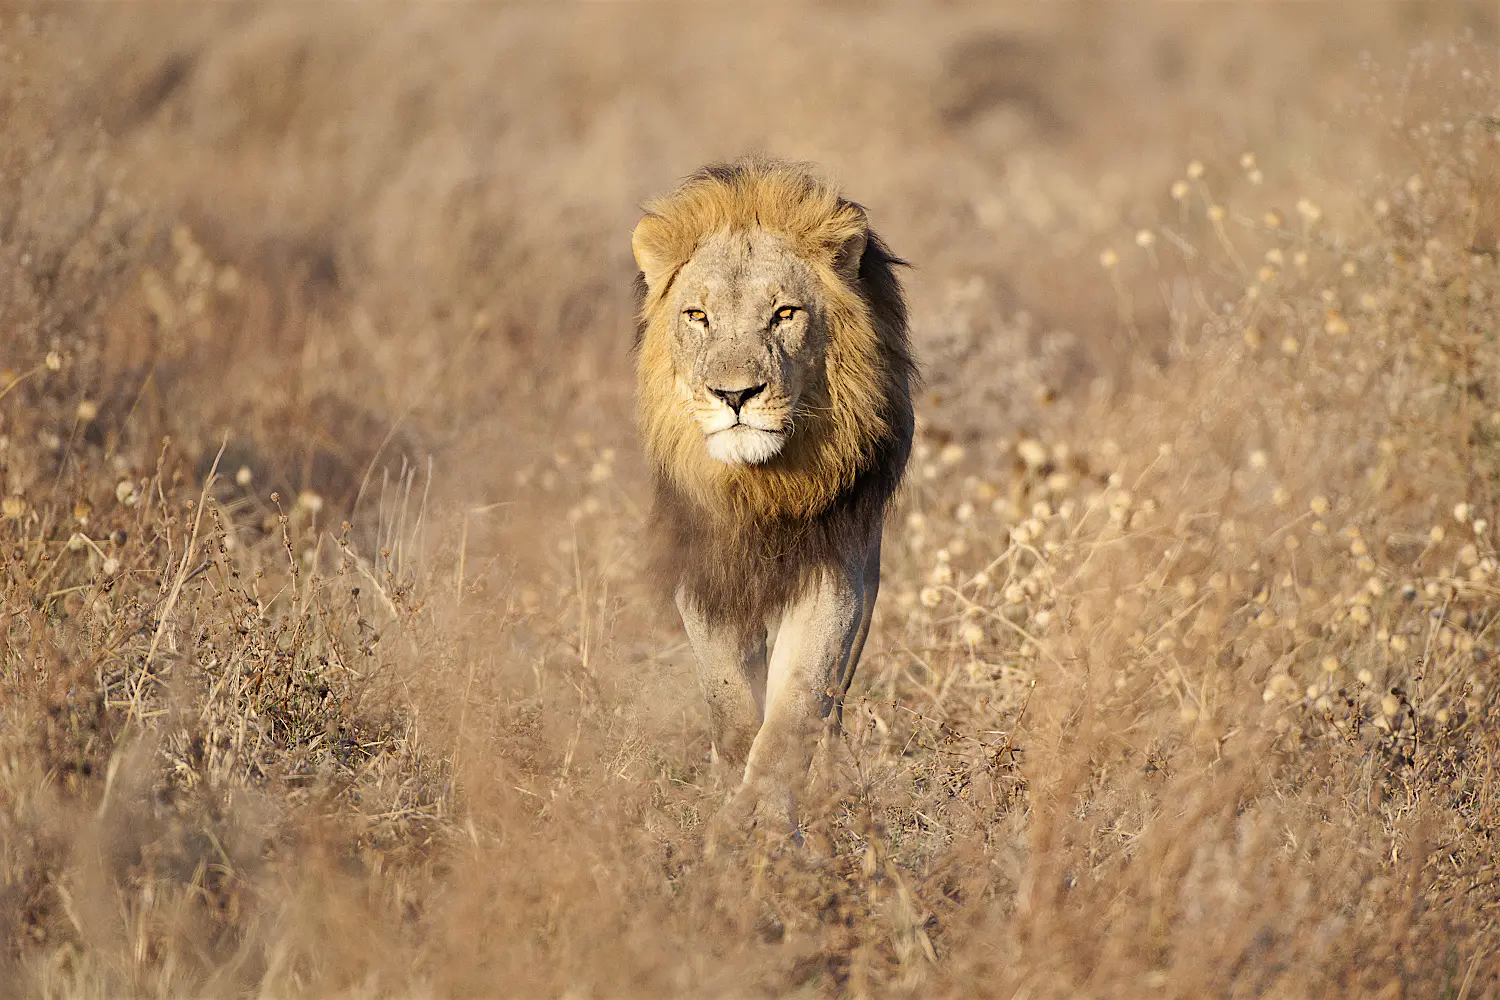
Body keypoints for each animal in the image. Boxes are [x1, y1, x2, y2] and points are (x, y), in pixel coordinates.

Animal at [632, 159, 916, 830]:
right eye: (698, 317)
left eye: (785, 314)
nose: (735, 395)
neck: (761, 486)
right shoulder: (707, 577)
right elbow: (732, 706)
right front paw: (731, 788)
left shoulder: (836, 572)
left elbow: (794, 712)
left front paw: (762, 819)